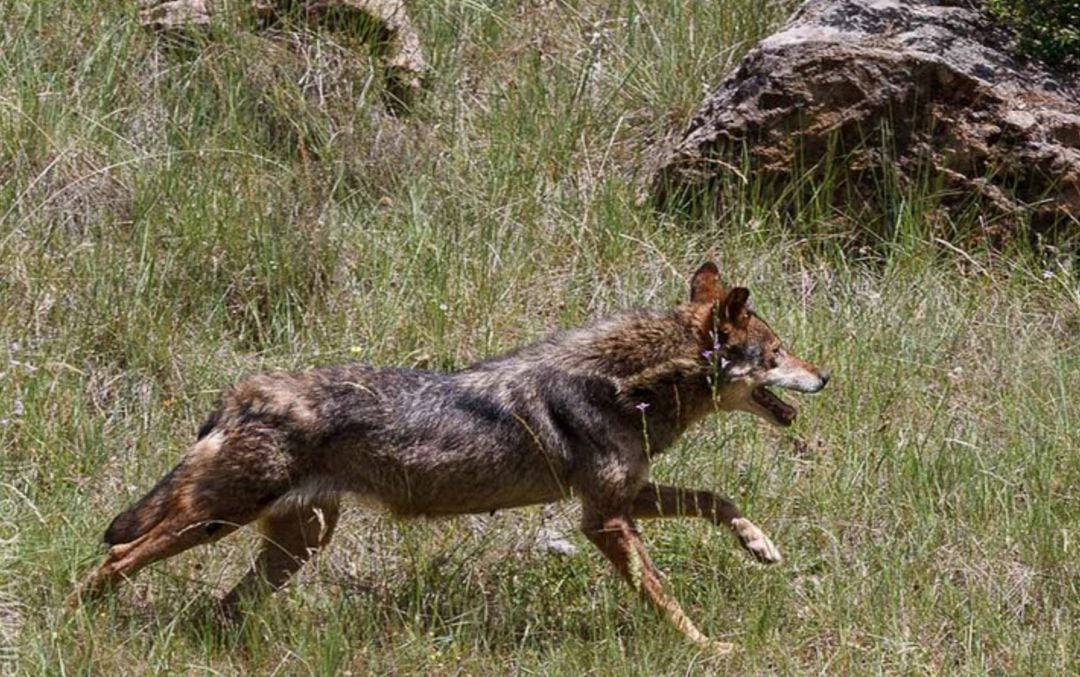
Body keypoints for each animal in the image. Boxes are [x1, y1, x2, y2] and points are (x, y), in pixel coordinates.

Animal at [76, 262, 825, 652]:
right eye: (778, 352)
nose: (825, 376)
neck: (631, 382)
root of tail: (241, 394)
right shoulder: (603, 519)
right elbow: (661, 590)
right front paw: (704, 646)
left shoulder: (619, 499)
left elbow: (716, 500)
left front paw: (758, 543)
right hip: (218, 521)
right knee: (116, 556)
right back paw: (83, 618)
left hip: (297, 543)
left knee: (220, 603)